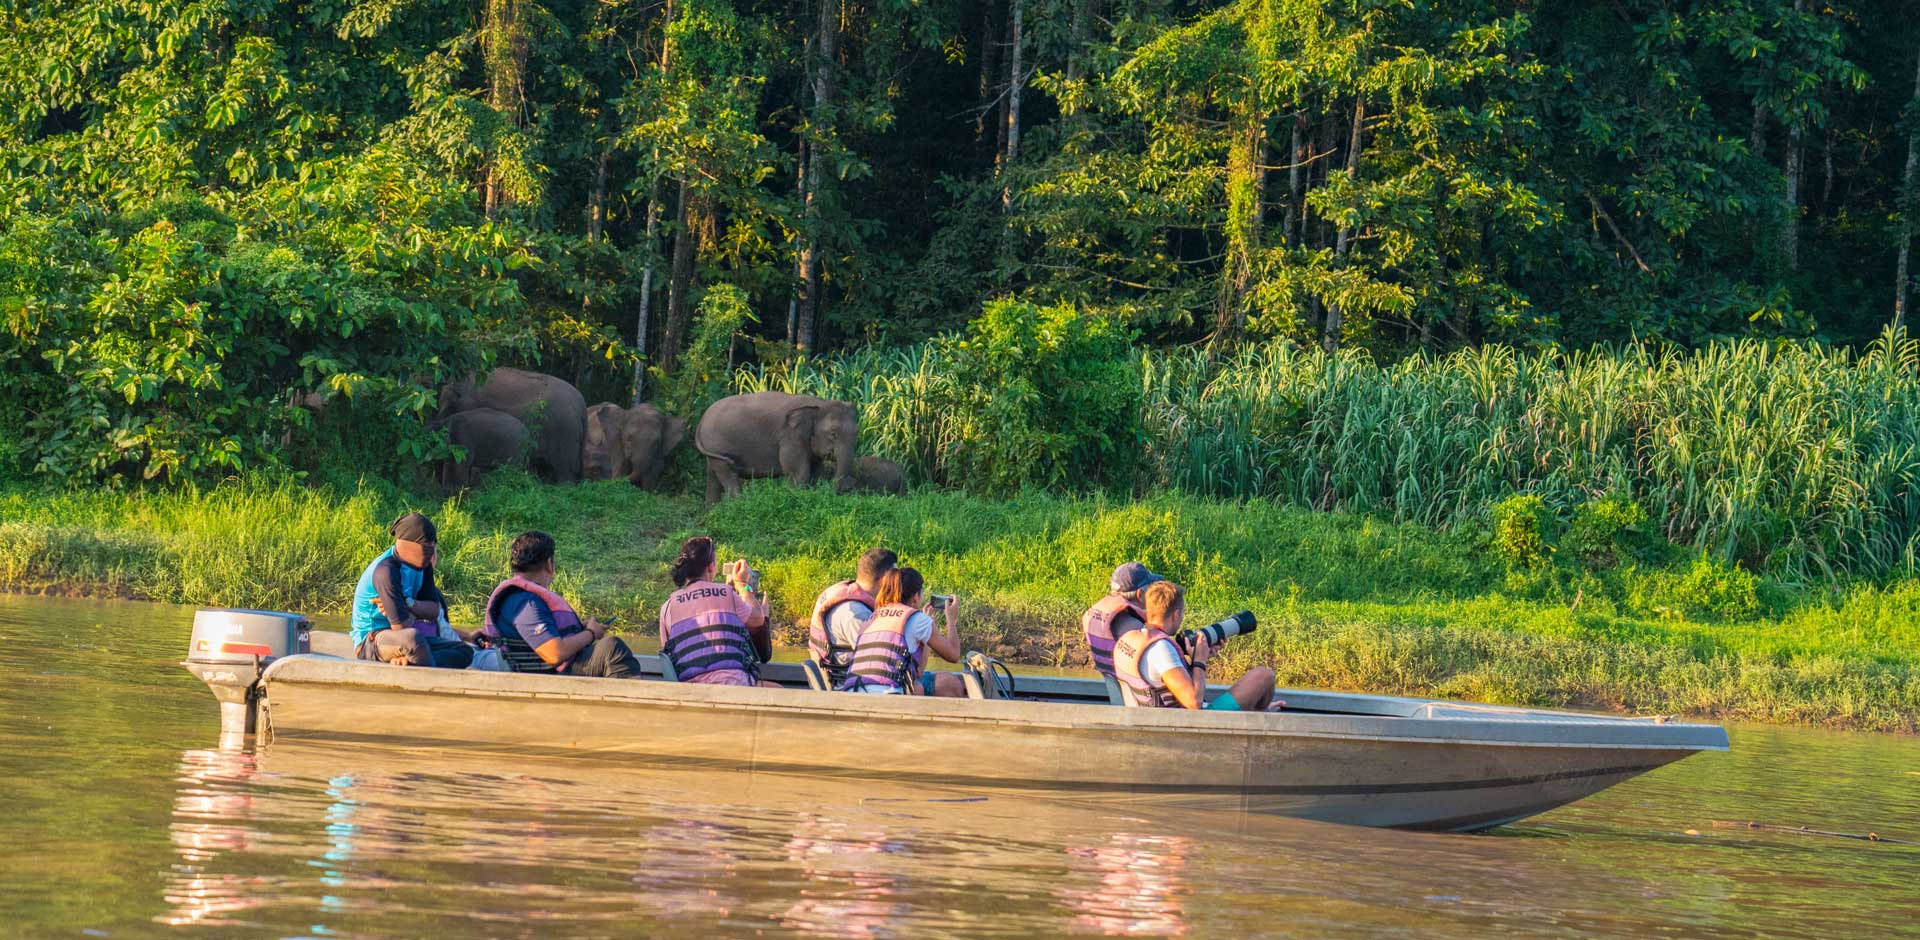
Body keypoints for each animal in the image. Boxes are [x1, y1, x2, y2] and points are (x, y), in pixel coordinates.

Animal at [695, 389, 860, 502]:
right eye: (833, 434)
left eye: (857, 433)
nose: (845, 490)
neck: (819, 403)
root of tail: (702, 419)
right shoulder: (789, 436)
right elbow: (799, 473)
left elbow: (816, 472)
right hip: (717, 446)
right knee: (728, 474)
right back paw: (739, 504)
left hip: (712, 449)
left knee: (713, 478)